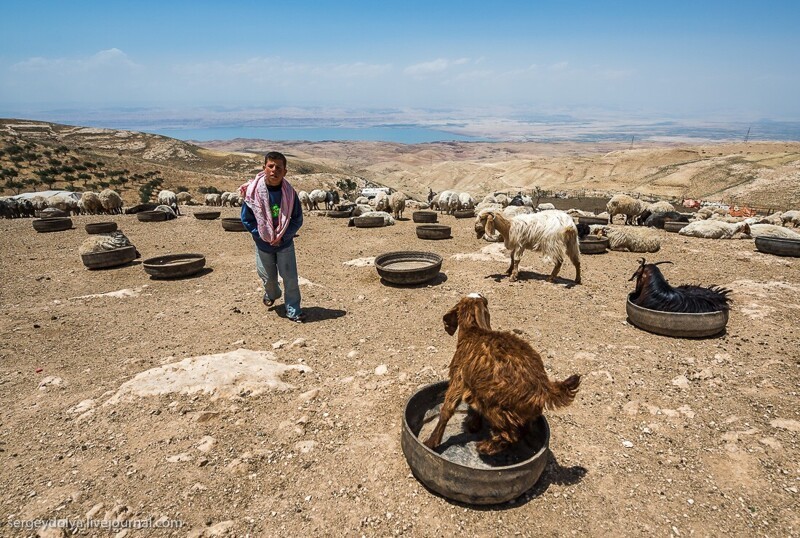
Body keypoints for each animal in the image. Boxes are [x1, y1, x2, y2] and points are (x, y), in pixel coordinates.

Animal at [424, 294, 580, 452]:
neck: (472, 332)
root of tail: (544, 386)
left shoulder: (458, 377)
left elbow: (447, 409)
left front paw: (431, 442)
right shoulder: (474, 386)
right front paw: (474, 425)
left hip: (496, 405)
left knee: (511, 434)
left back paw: (485, 447)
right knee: (524, 430)